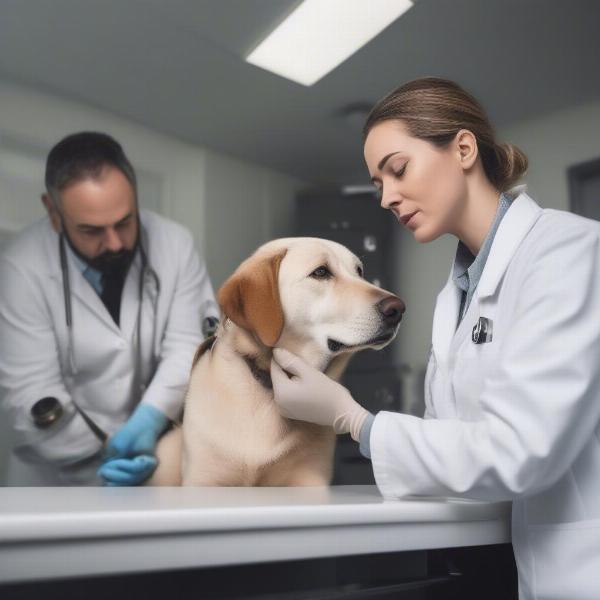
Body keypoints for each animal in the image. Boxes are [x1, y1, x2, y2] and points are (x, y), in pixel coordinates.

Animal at [148, 237, 406, 486]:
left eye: (359, 271)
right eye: (321, 272)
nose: (398, 309)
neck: (267, 390)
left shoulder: (310, 479)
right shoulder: (206, 479)